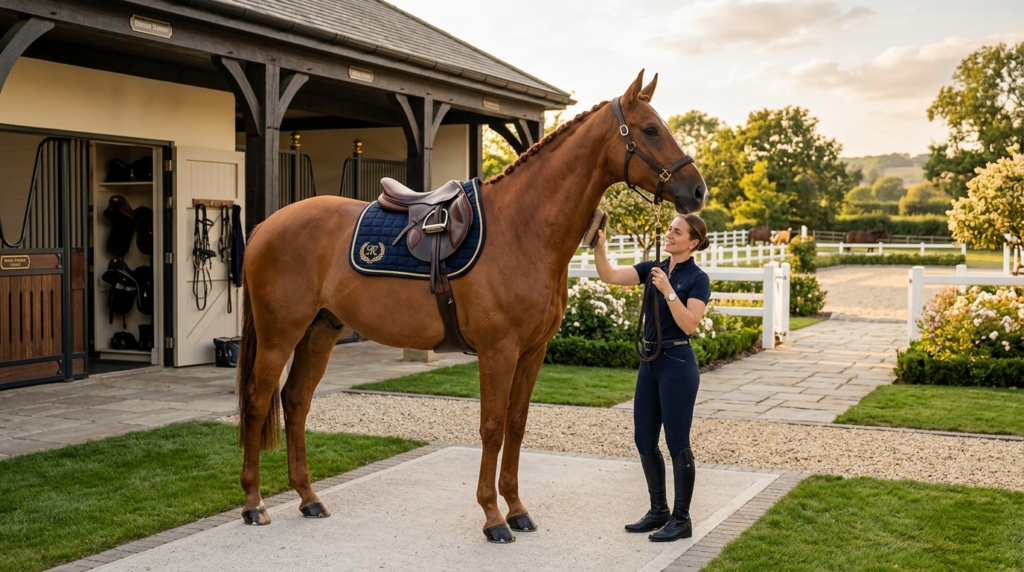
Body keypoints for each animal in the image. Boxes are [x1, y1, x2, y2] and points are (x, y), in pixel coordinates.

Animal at [234, 70, 707, 542]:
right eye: (650, 129)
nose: (698, 191)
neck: (523, 228)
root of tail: (266, 225)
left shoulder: (532, 352)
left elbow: (516, 426)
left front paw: (517, 509)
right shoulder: (498, 351)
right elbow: (492, 428)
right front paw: (493, 517)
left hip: (320, 330)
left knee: (296, 401)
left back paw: (308, 498)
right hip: (280, 334)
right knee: (257, 402)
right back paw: (254, 504)